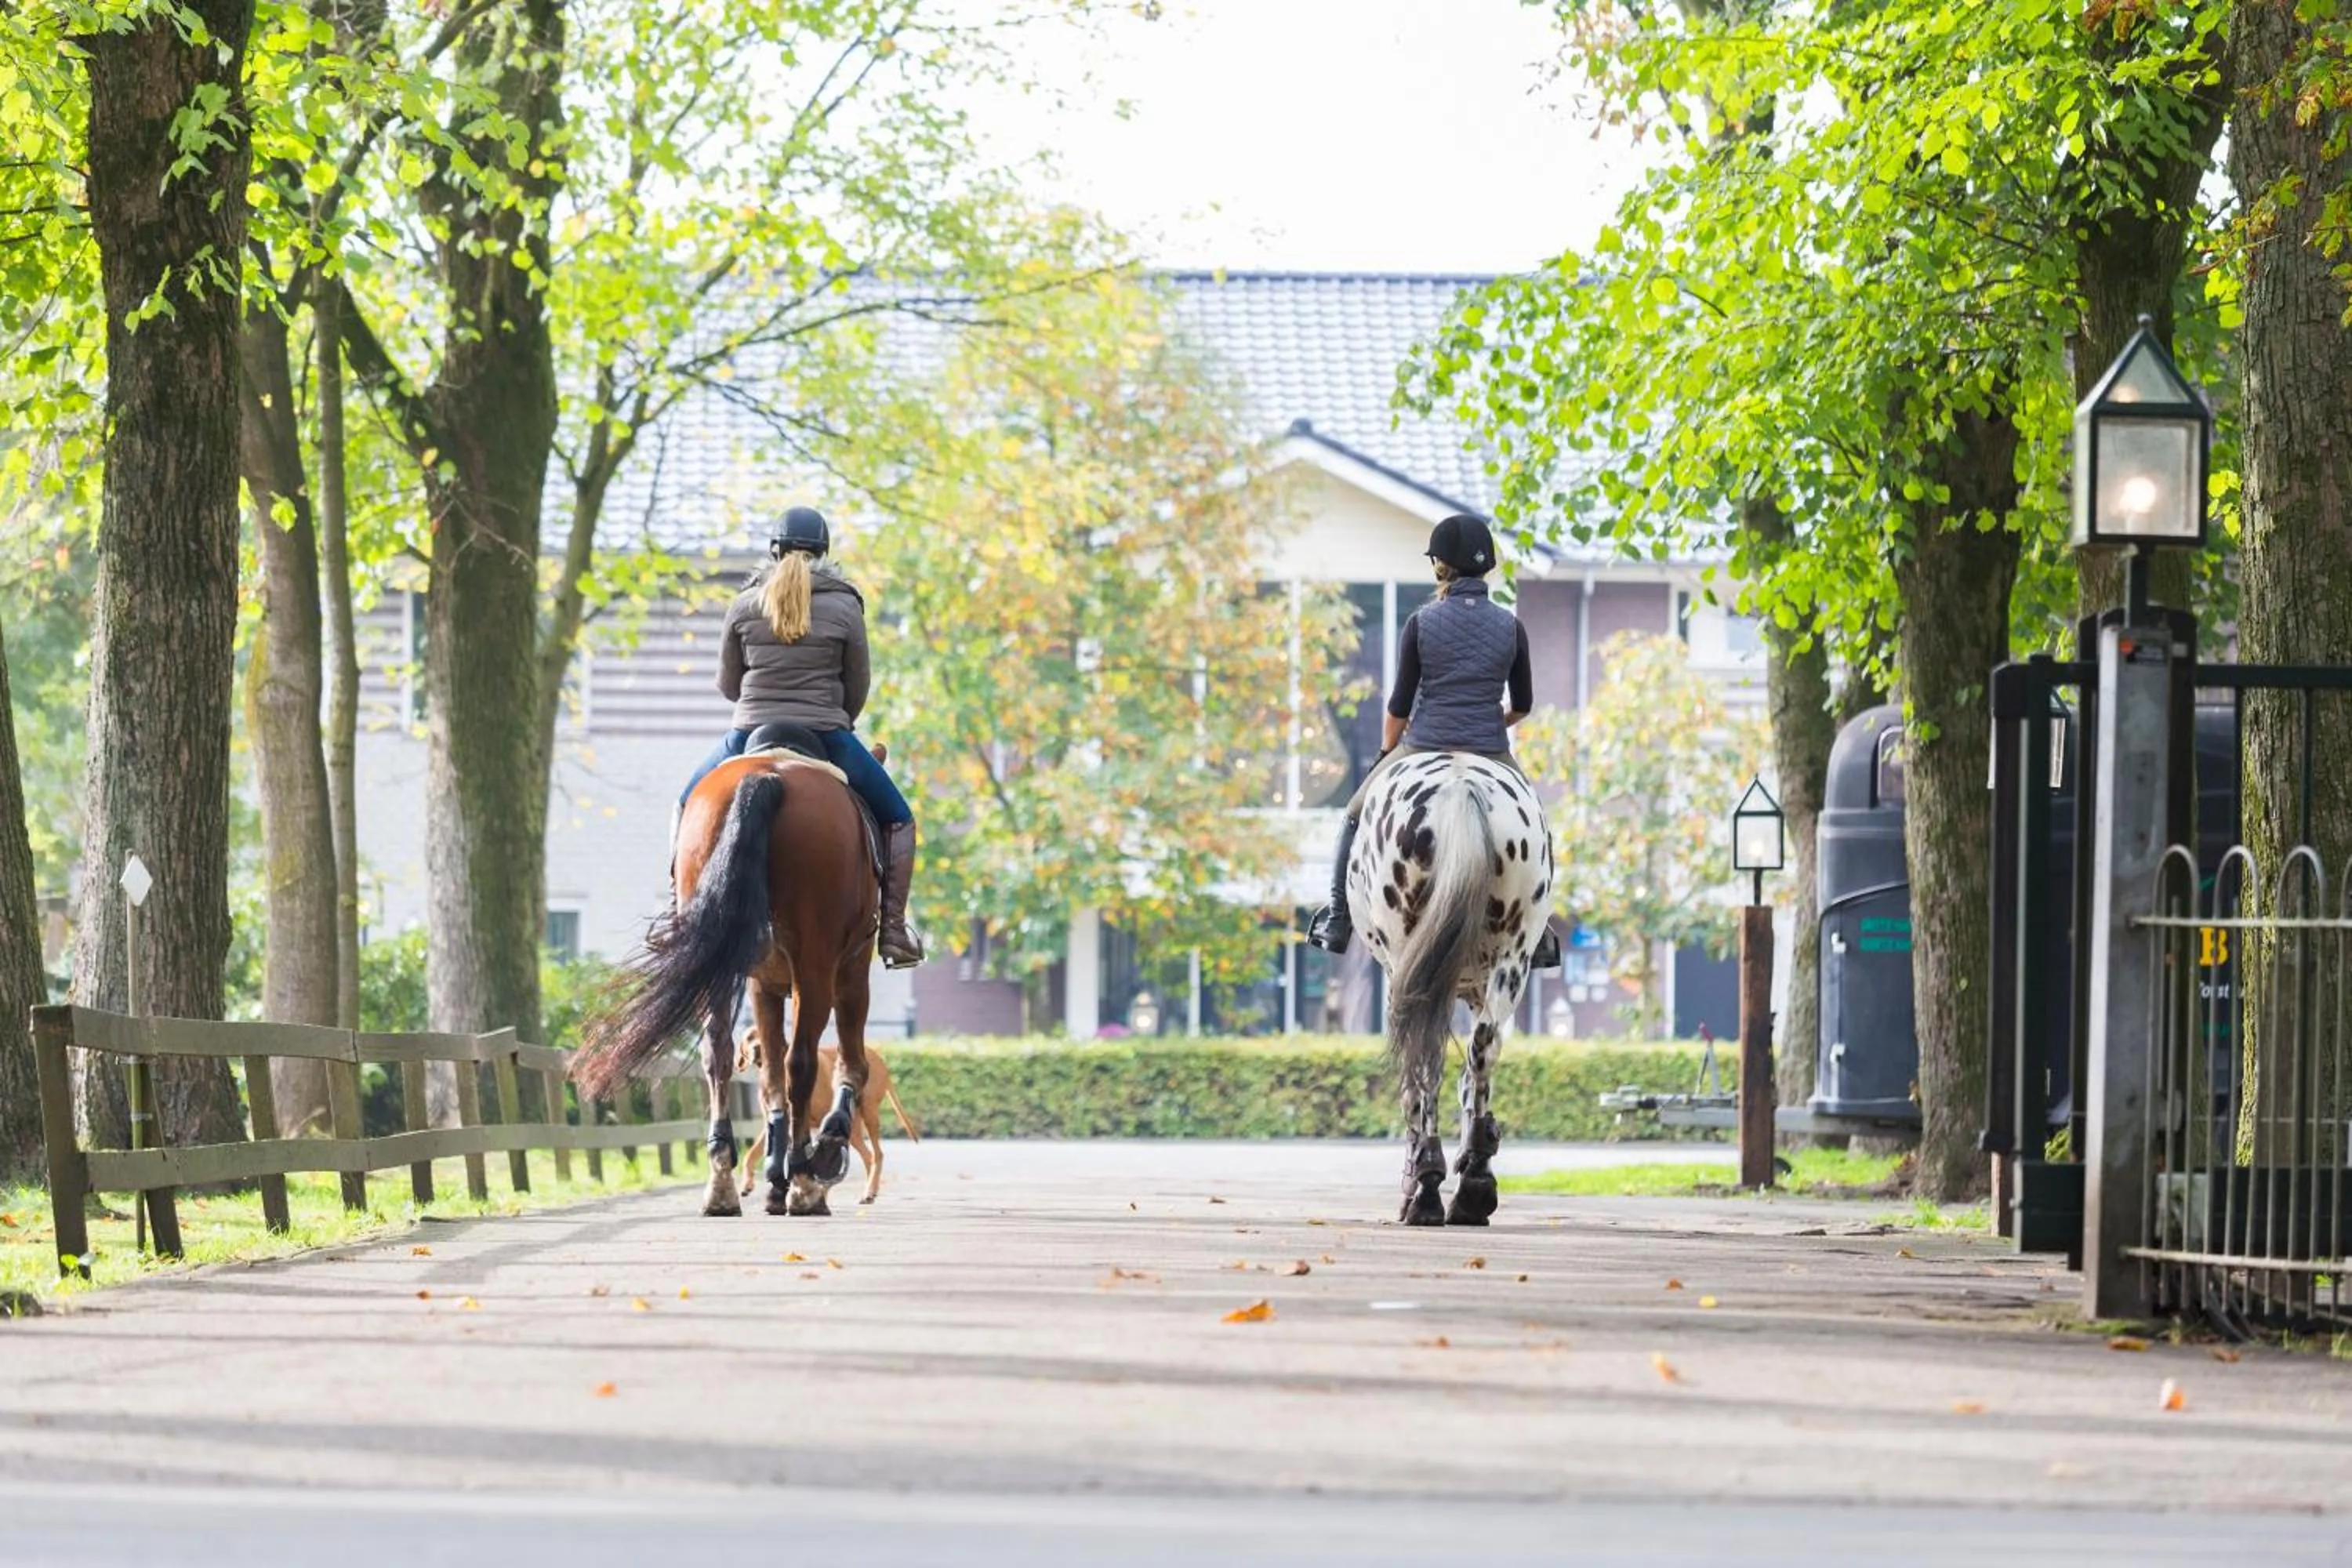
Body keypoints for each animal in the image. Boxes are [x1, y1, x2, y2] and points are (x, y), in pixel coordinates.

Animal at [572, 746, 880, 1218]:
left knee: (717, 1051)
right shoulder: (850, 970)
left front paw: (775, 1179)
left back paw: (721, 1183)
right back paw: (803, 1182)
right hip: (816, 964)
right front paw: (821, 1151)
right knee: (802, 1061)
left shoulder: (762, 984)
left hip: (724, 960)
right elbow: (846, 1064)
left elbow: (769, 1073)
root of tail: (768, 776)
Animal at [1349, 751, 1554, 1226]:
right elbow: (1471, 1080)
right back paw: (1474, 1183)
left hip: (1406, 960)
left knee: (1425, 1060)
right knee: (1482, 1051)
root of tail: (1461, 787)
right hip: (1511, 961)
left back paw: (1423, 1184)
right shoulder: (1478, 989)